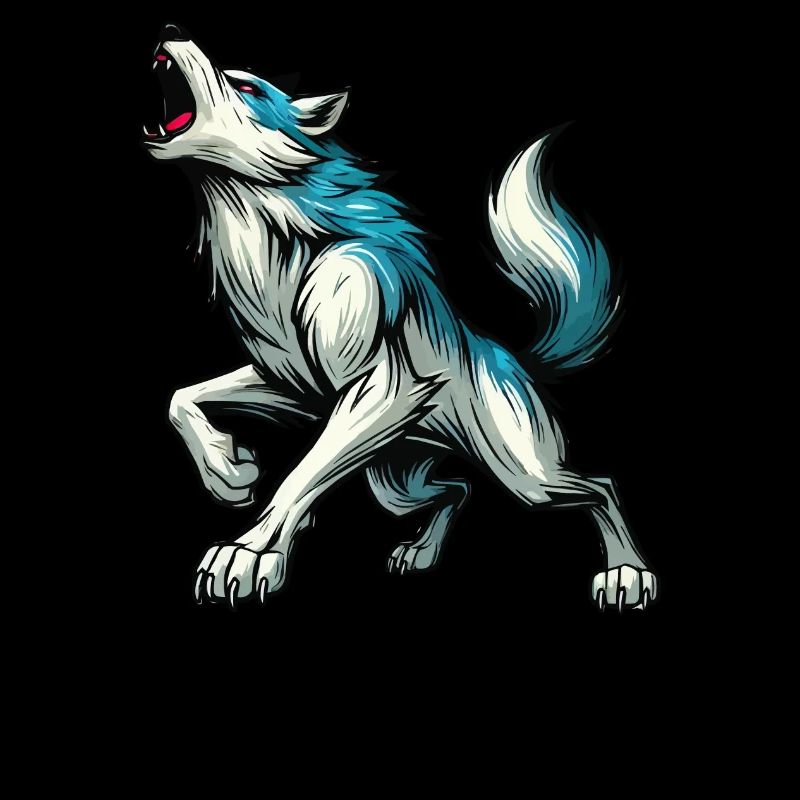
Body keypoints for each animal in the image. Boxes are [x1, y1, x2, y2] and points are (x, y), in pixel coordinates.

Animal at [145, 23, 656, 610]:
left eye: (247, 86)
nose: (169, 30)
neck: (281, 248)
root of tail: (516, 361)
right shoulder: (294, 385)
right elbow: (181, 399)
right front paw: (228, 472)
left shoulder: (385, 383)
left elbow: (297, 477)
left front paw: (249, 553)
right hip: (395, 485)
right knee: (457, 489)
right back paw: (422, 554)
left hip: (526, 478)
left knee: (601, 487)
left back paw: (626, 573)